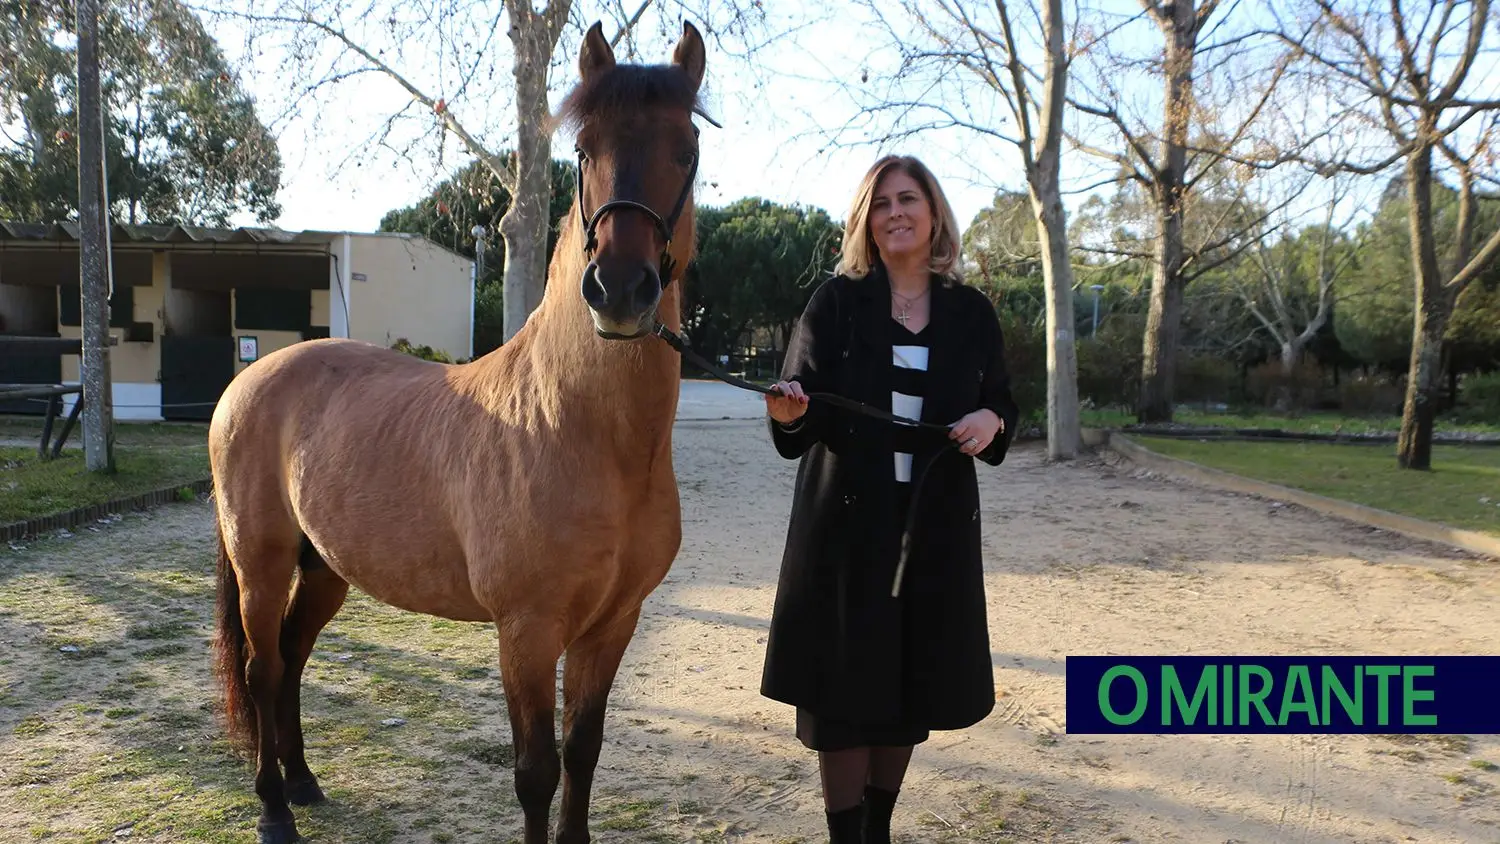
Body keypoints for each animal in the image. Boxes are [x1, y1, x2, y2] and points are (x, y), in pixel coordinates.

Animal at [208, 21, 711, 844]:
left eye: (687, 147)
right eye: (583, 150)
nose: (619, 289)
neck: (581, 434)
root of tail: (249, 381)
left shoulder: (613, 626)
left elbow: (584, 751)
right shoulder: (527, 631)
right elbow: (537, 772)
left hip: (326, 567)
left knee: (292, 655)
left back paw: (305, 782)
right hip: (263, 560)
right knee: (261, 667)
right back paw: (275, 811)